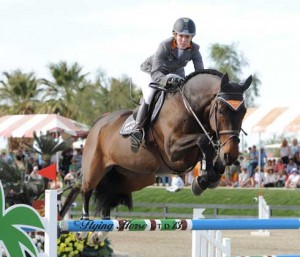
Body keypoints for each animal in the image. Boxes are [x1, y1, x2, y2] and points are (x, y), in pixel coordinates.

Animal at [81, 68, 252, 218]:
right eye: (221, 110)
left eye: (244, 111)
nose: (231, 154)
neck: (189, 108)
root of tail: (97, 124)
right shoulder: (173, 150)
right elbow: (203, 141)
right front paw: (202, 180)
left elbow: (212, 155)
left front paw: (206, 179)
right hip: (94, 170)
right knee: (86, 191)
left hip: (133, 176)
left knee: (109, 196)